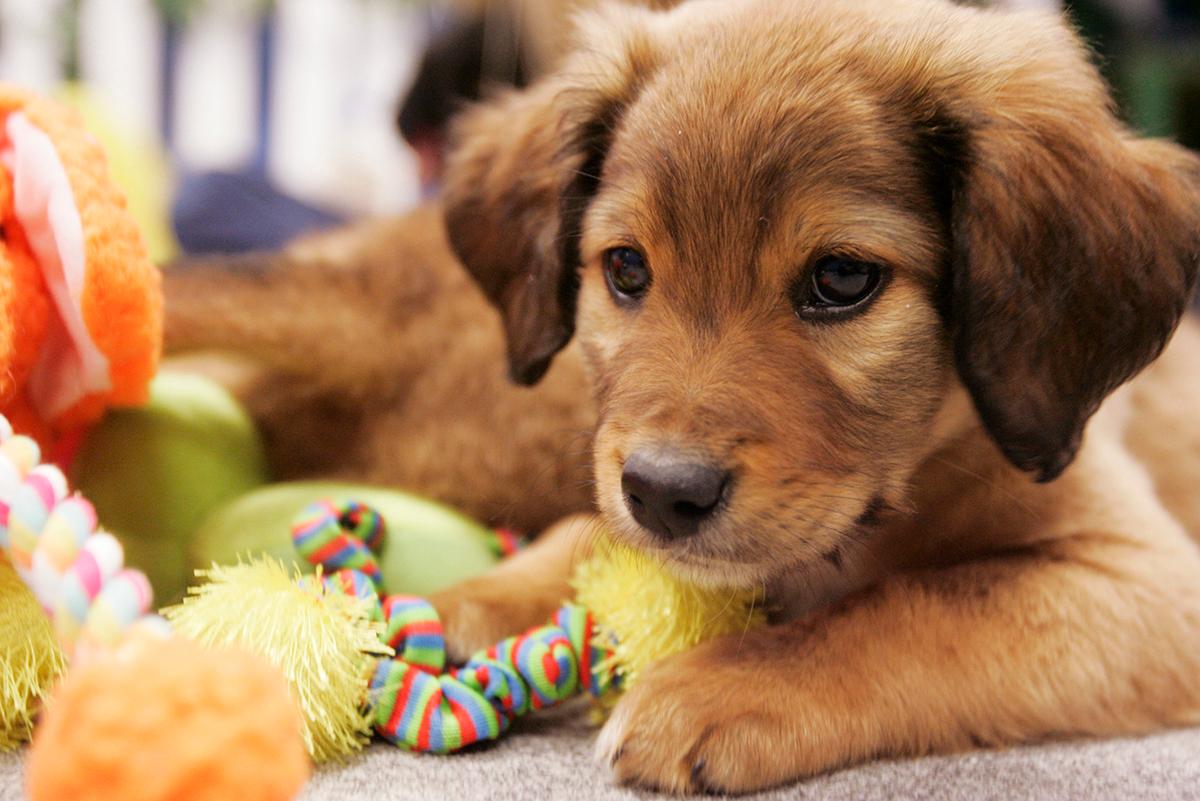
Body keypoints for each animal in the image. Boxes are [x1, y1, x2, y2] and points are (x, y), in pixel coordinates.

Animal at [434, 0, 1200, 791]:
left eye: (841, 278)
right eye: (625, 267)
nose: (662, 494)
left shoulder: (1146, 575)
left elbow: (916, 603)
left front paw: (718, 686)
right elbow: (587, 531)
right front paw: (490, 592)